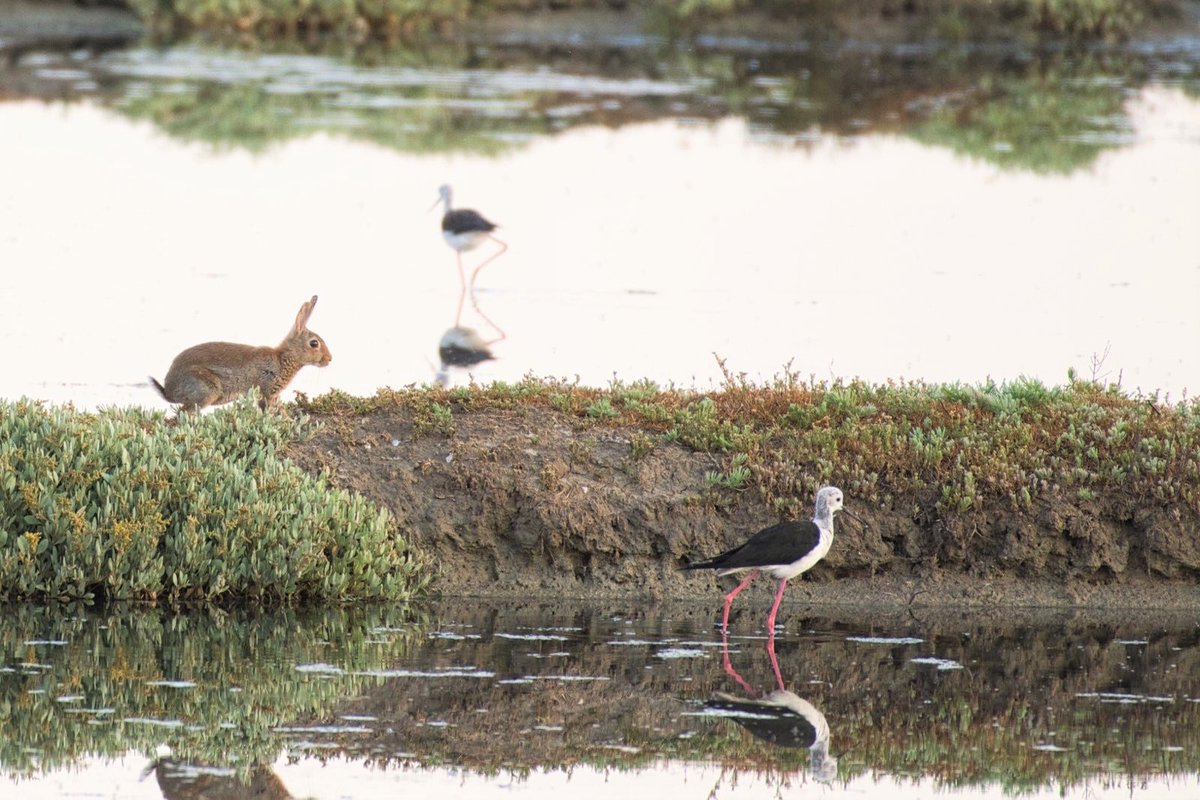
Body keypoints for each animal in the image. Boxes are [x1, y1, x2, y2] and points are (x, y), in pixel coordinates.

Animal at [150, 295, 331, 412]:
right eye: (314, 343)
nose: (329, 359)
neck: (283, 359)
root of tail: (169, 390)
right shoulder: (266, 390)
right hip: (206, 390)